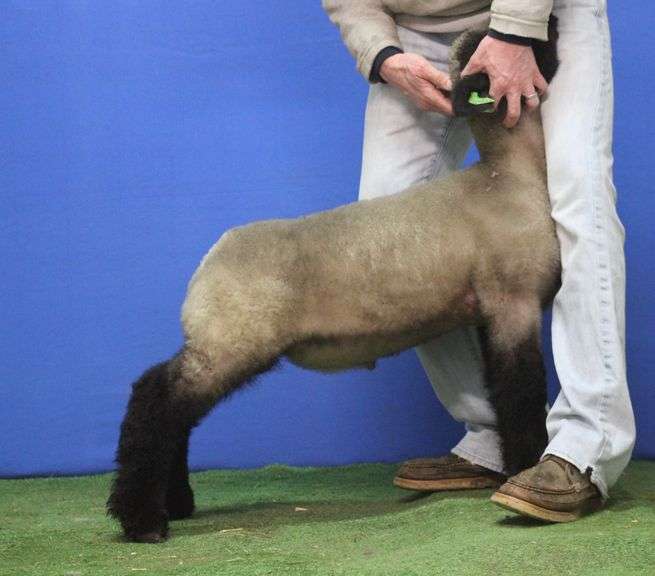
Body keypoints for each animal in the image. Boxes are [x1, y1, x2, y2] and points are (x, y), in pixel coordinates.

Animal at [108, 21, 560, 543]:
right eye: (516, 44)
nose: (554, 23)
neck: (507, 177)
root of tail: (209, 261)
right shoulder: (513, 302)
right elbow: (522, 395)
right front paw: (526, 469)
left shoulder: (490, 312)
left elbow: (503, 395)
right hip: (231, 340)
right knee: (156, 399)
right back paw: (143, 520)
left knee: (173, 410)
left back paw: (177, 503)